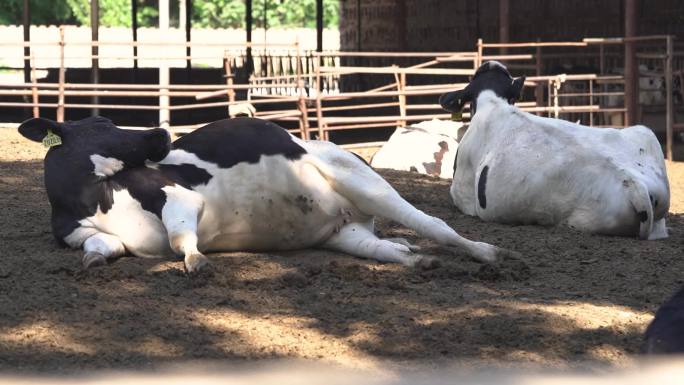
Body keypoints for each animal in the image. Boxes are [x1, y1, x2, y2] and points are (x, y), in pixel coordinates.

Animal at [18, 115, 516, 272]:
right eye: (104, 124)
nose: (161, 131)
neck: (91, 197)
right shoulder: (86, 233)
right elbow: (101, 247)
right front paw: (93, 260)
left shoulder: (180, 198)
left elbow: (180, 236)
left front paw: (196, 260)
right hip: (347, 234)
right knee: (386, 249)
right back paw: (415, 258)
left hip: (365, 182)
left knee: (435, 224)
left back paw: (492, 254)